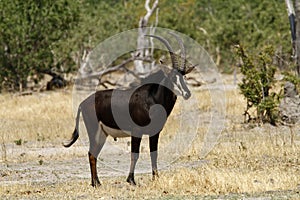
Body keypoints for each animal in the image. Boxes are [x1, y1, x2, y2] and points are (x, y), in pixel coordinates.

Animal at [64, 32, 193, 187]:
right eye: (173, 77)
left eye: (184, 76)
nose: (187, 93)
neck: (152, 97)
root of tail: (83, 103)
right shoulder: (136, 132)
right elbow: (134, 155)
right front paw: (131, 180)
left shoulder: (155, 133)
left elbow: (154, 154)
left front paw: (156, 178)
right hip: (94, 131)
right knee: (91, 153)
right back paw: (95, 183)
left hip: (102, 134)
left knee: (93, 154)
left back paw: (97, 182)